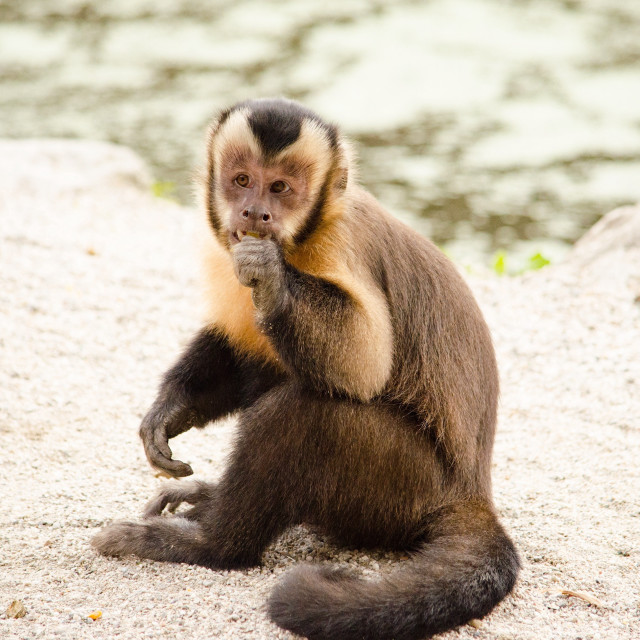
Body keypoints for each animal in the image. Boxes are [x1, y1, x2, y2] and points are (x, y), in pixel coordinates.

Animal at [92, 97, 519, 640]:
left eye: (280, 188)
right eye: (242, 180)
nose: (255, 212)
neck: (299, 242)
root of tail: (473, 493)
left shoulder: (340, 245)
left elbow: (362, 364)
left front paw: (272, 277)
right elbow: (240, 351)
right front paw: (169, 409)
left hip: (405, 489)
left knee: (302, 413)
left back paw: (212, 544)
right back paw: (213, 500)